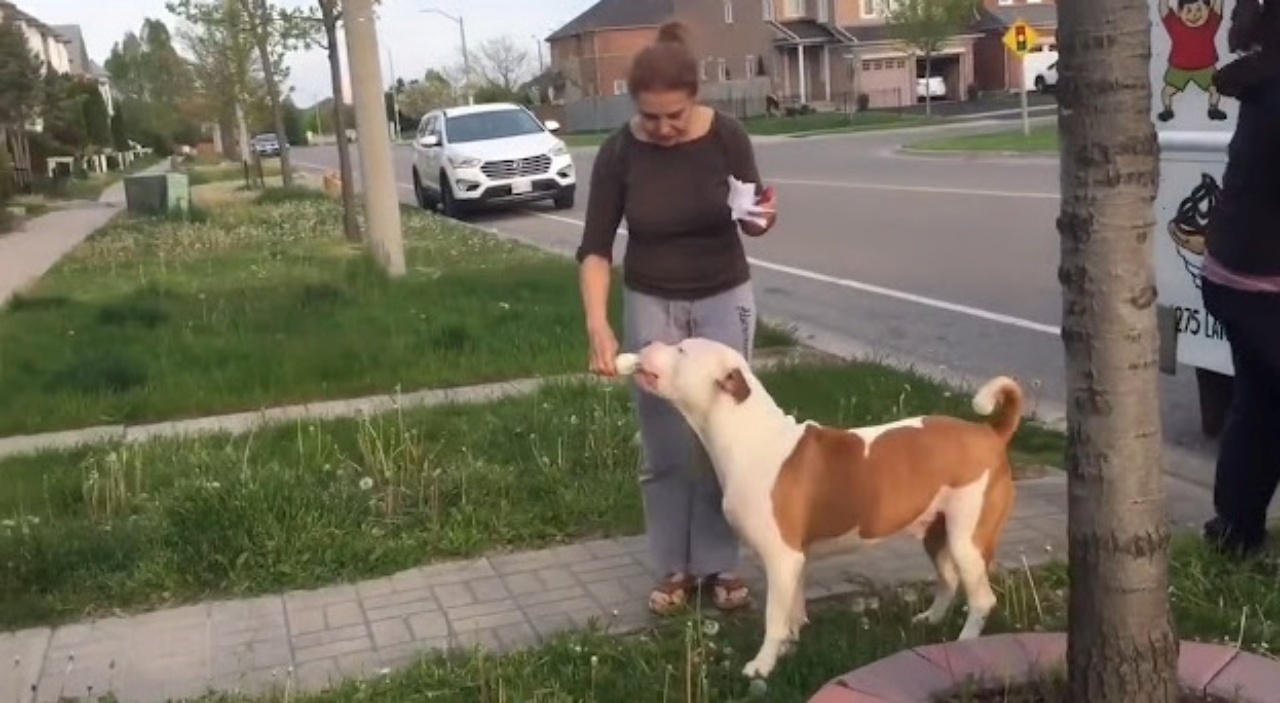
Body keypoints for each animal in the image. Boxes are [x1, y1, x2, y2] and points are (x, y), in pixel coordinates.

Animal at [614, 338, 1024, 676]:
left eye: (682, 349)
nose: (644, 344)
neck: (747, 434)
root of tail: (988, 433)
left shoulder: (782, 558)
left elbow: (774, 617)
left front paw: (762, 666)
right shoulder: (795, 559)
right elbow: (792, 610)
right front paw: (789, 646)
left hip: (968, 539)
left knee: (982, 598)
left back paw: (964, 644)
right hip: (937, 533)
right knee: (949, 578)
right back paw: (931, 619)